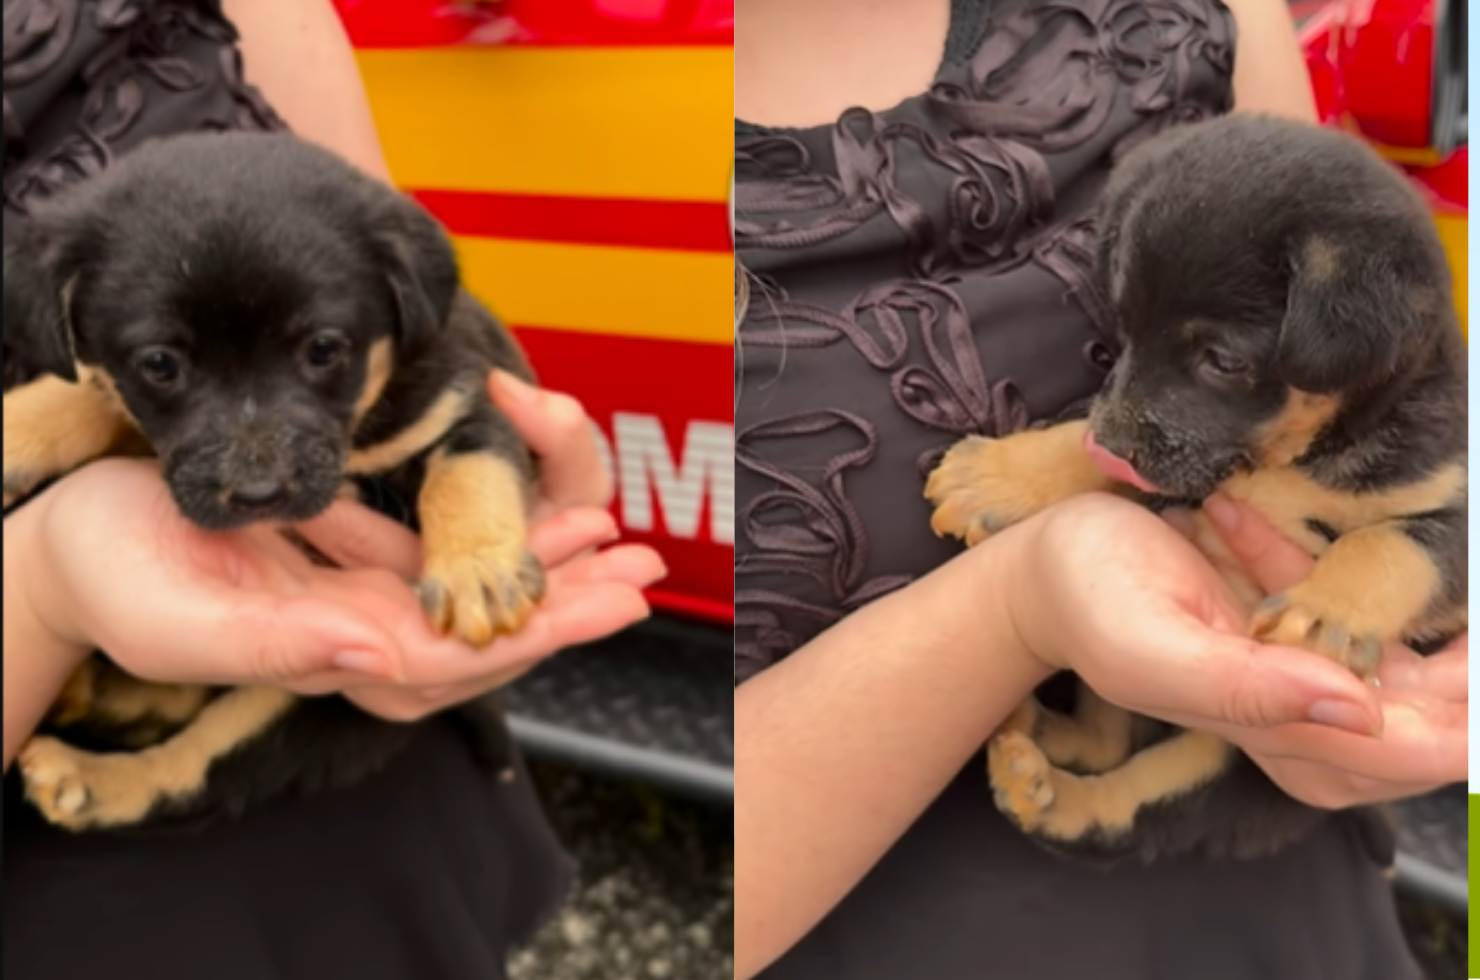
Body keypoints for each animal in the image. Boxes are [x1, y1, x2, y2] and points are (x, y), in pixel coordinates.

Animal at [2, 130, 547, 834]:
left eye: (324, 349)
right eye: (160, 364)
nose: (259, 496)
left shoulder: (471, 402)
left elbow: (466, 472)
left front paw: (477, 575)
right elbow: (92, 393)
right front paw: (20, 424)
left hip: (318, 703)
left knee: (199, 770)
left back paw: (87, 776)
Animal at [923, 113, 1468, 870]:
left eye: (1223, 361)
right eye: (1124, 331)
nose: (1111, 446)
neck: (1293, 461)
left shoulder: (1451, 514)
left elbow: (1388, 545)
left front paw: (1323, 615)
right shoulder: (1177, 466)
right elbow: (1089, 442)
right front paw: (1004, 474)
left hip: (1230, 764)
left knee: (1132, 815)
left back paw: (1052, 797)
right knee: (1111, 745)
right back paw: (1034, 751)